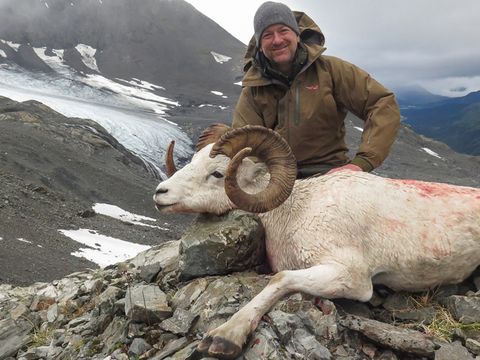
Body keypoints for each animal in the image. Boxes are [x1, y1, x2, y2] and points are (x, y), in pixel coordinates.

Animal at [155, 124, 480, 360]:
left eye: (217, 174)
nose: (160, 192)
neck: (298, 211)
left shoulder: (352, 278)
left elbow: (280, 280)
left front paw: (224, 337)